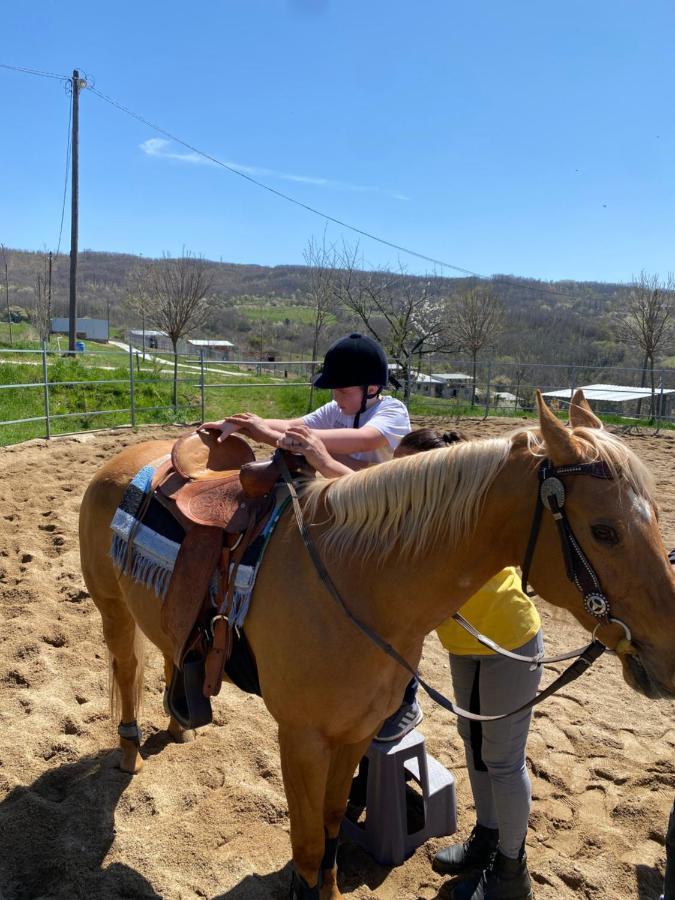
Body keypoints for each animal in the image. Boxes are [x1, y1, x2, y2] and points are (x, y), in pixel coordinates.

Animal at [78, 394, 675, 900]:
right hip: (112, 608)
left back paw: (179, 721)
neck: (354, 581)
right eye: (604, 531)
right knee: (127, 668)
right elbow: (307, 844)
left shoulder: (356, 733)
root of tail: (127, 459)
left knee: (169, 649)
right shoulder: (301, 739)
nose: (666, 656)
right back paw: (131, 749)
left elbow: (332, 825)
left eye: (656, 517)